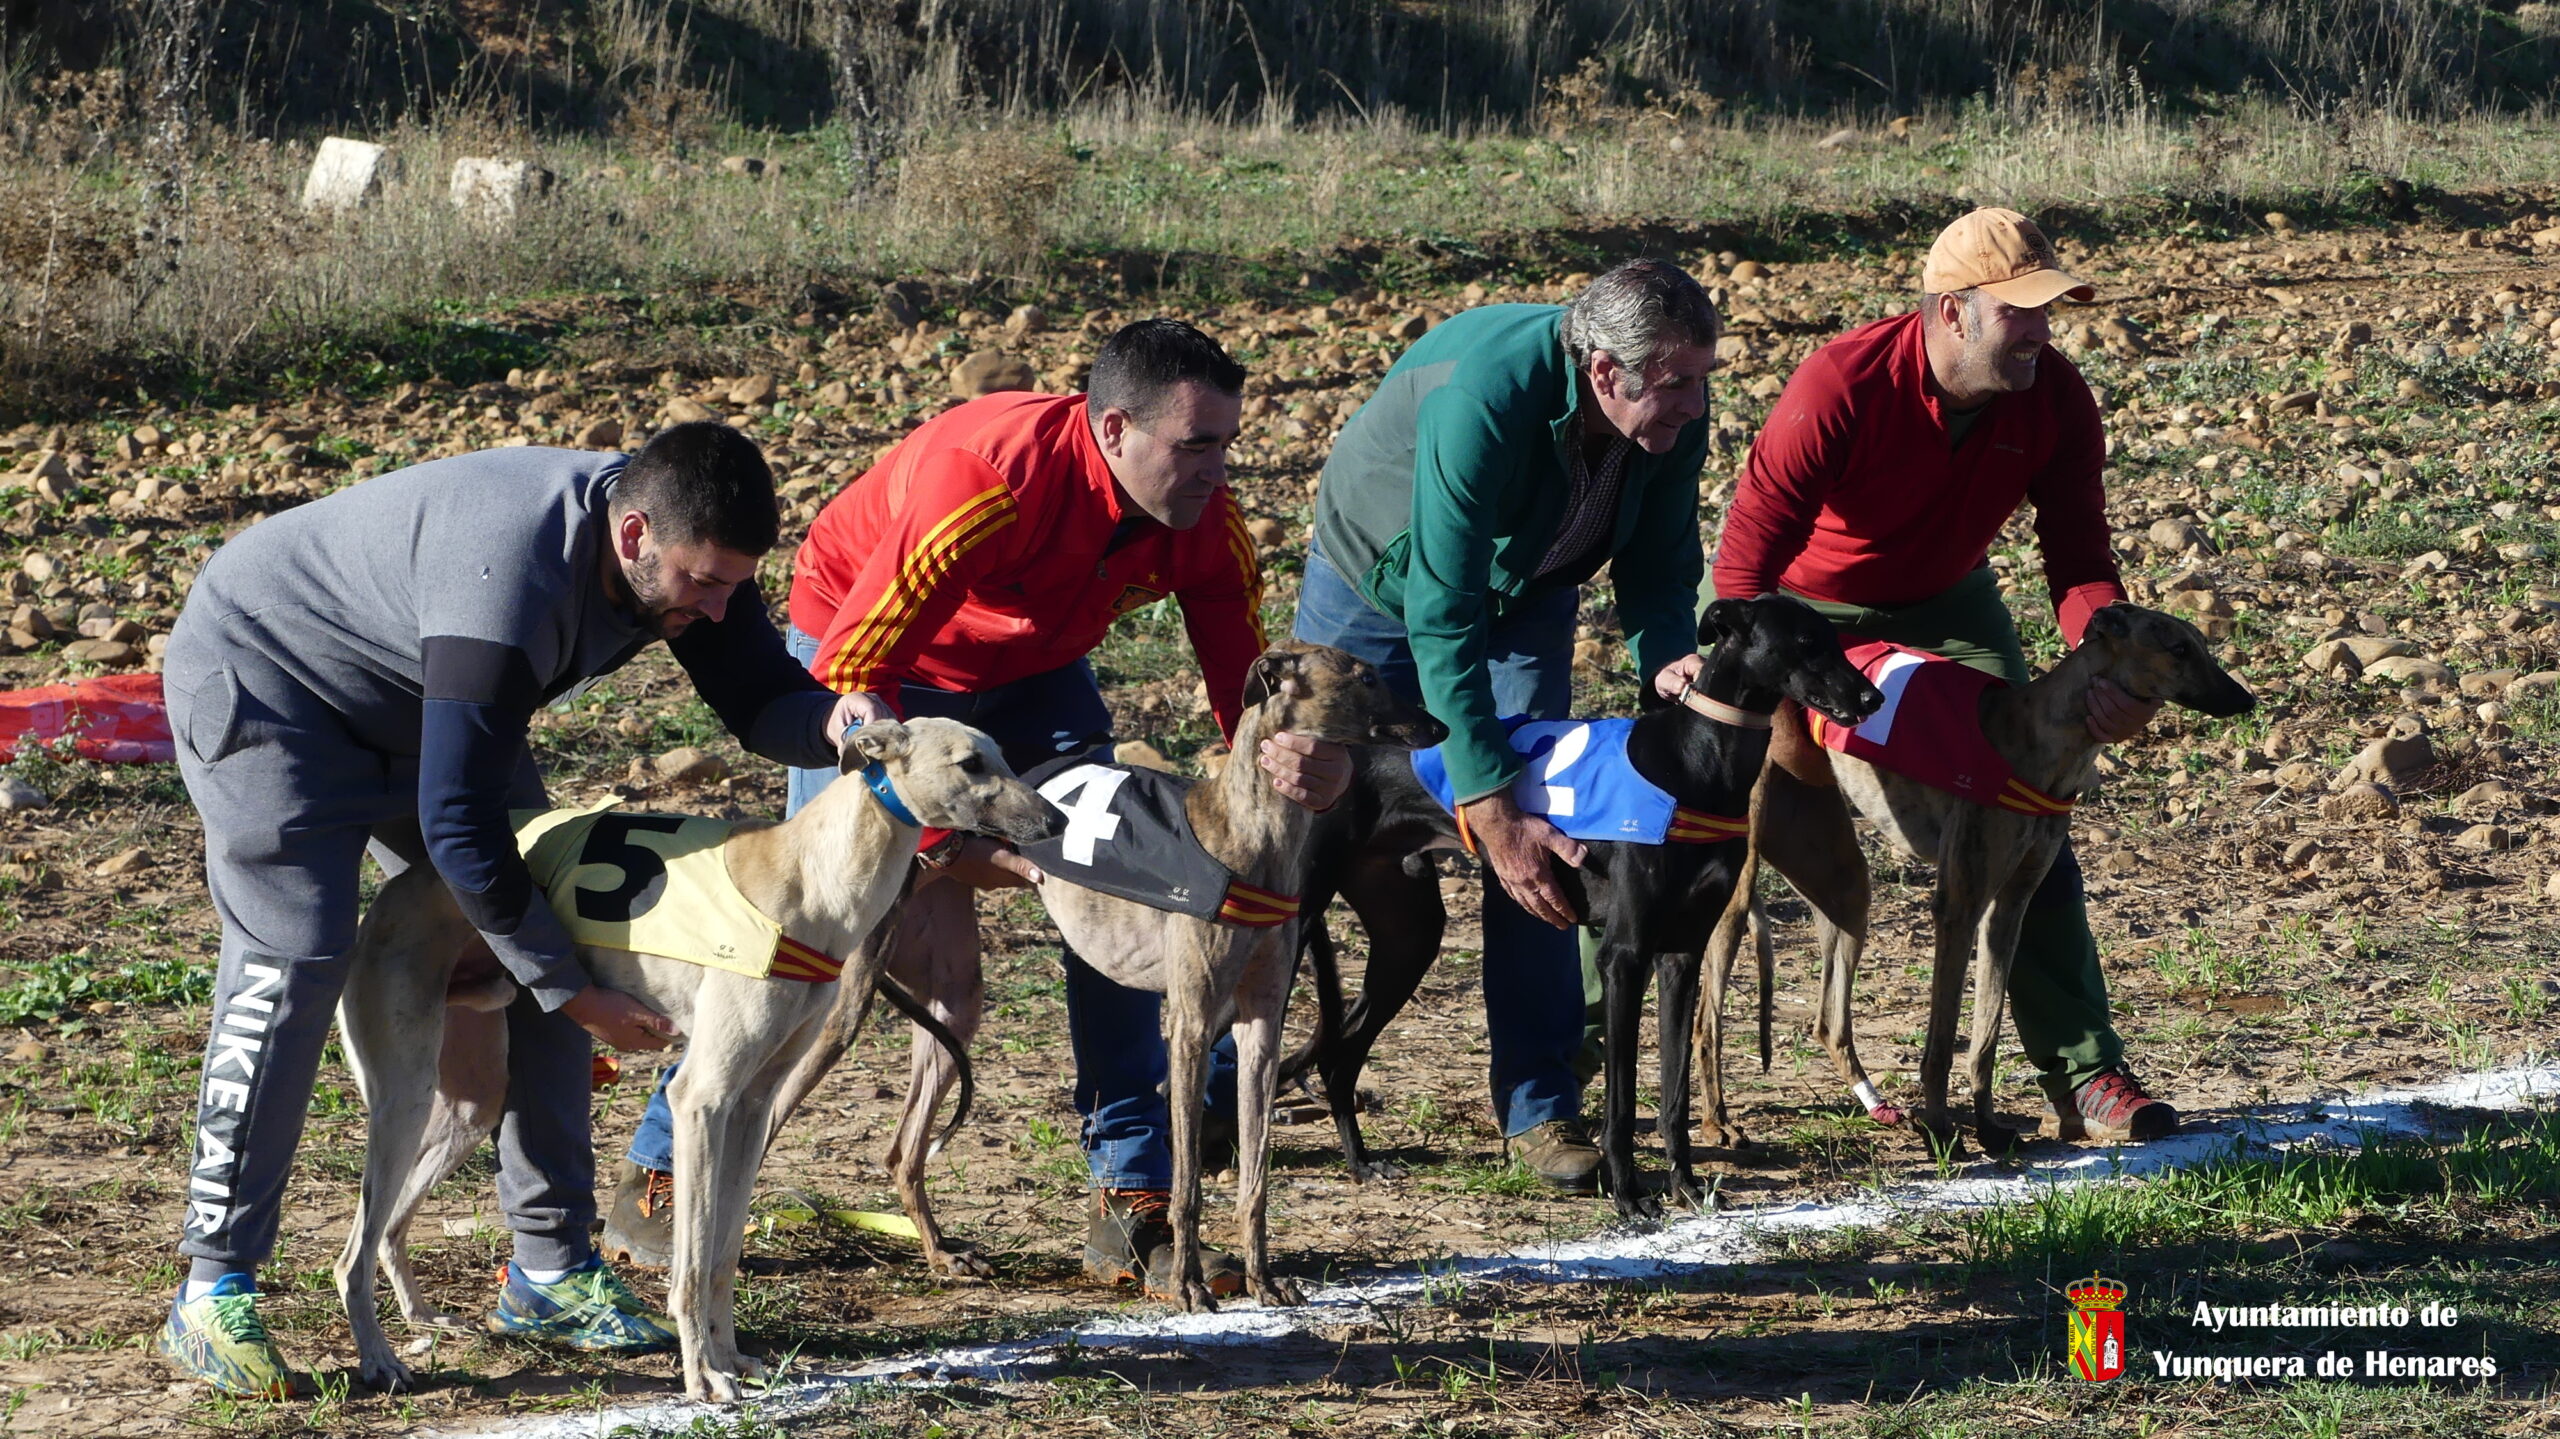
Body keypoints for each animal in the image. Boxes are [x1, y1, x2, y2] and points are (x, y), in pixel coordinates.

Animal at [330, 717, 1060, 1403]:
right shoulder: (700, 1099)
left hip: (471, 1102)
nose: (1057, 821)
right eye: (972, 762)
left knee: (389, 1228)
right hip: (402, 1097)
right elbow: (689, 1263)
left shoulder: (751, 1107)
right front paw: (702, 1377)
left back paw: (423, 1317)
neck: (810, 876)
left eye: (1002, 754)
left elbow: (721, 1256)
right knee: (352, 1252)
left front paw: (732, 1358)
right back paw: (380, 1360)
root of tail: (398, 888)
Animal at [1281, 596, 1884, 1218]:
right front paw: (1627, 1196)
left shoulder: (1681, 956)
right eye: (1807, 642)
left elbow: (1674, 1096)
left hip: (1410, 936)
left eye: (1833, 638)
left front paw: (1686, 1187)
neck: (1696, 760)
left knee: (1340, 1056)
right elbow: (1621, 1102)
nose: (1873, 700)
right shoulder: (1624, 957)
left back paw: (1361, 1163)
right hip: (1294, 926)